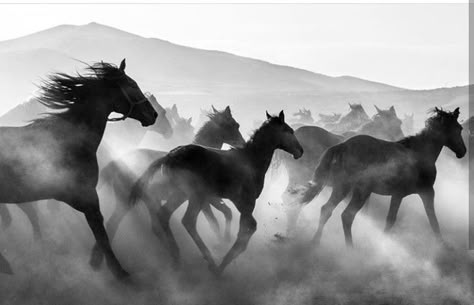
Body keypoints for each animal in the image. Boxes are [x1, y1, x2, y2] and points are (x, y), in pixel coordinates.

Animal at [0, 58, 157, 278]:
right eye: (132, 85)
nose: (153, 114)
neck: (73, 140)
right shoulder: (84, 195)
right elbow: (101, 231)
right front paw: (117, 271)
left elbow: (101, 228)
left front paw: (99, 262)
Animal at [90, 105, 244, 266]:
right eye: (234, 125)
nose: (242, 143)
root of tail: (116, 162)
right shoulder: (205, 199)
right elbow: (218, 218)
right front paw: (221, 243)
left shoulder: (204, 199)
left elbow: (224, 214)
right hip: (129, 202)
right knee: (119, 224)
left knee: (137, 225)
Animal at [128, 111, 302, 274]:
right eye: (290, 131)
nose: (300, 151)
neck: (250, 160)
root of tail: (169, 155)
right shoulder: (246, 203)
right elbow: (246, 230)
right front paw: (221, 266)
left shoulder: (237, 203)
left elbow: (235, 222)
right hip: (195, 196)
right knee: (188, 221)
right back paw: (209, 261)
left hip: (181, 194)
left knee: (164, 214)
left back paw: (176, 257)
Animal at [298, 106, 464, 245]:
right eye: (458, 128)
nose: (463, 151)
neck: (419, 153)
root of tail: (342, 146)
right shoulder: (423, 192)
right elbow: (430, 219)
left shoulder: (405, 194)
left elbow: (404, 219)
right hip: (360, 191)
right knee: (347, 215)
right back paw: (350, 248)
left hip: (343, 188)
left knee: (327, 210)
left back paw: (316, 242)